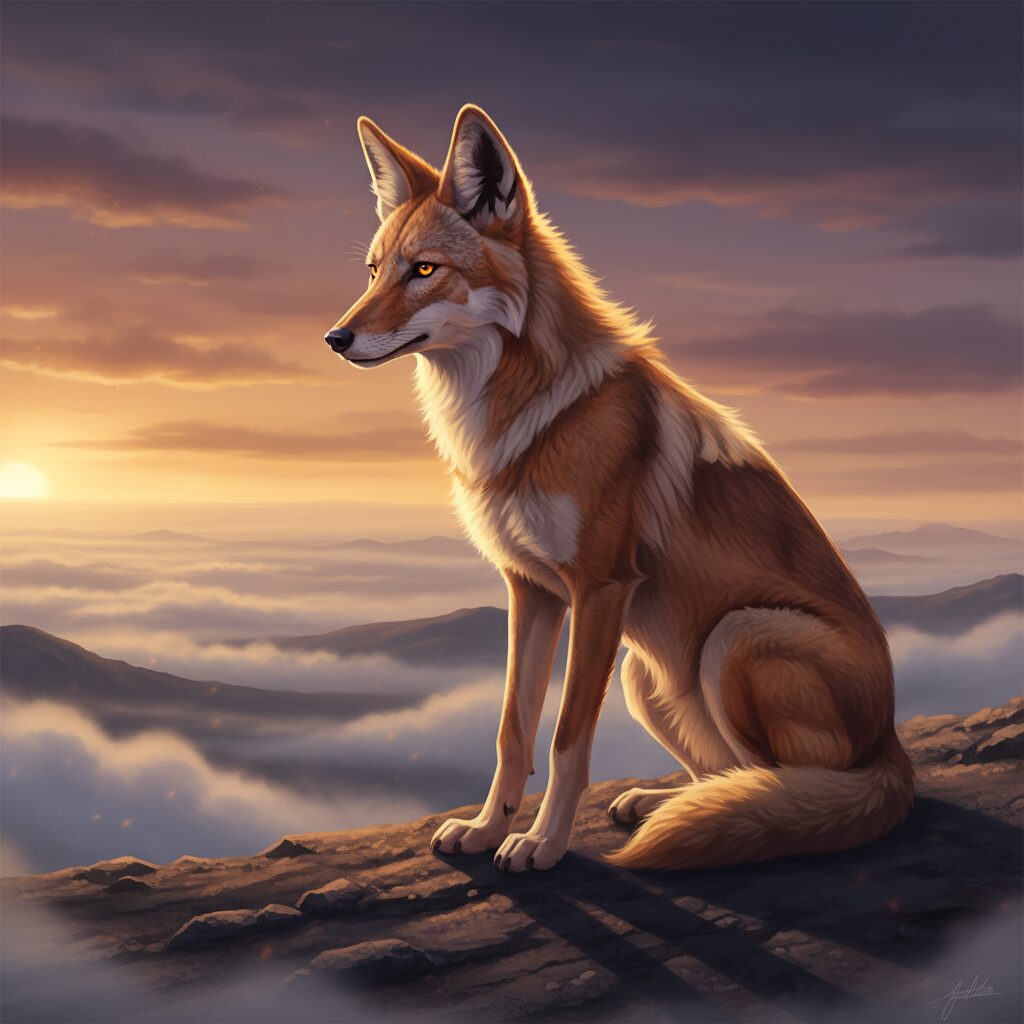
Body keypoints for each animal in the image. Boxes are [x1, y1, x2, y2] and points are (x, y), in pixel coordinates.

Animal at [325, 105, 914, 873]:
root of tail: (896, 752)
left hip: (734, 634)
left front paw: (542, 843)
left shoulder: (599, 589)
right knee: (732, 773)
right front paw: (486, 828)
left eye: (424, 270)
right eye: (372, 272)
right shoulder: (531, 590)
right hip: (650, 673)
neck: (527, 415)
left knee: (788, 784)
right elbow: (512, 731)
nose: (335, 338)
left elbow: (565, 739)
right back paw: (663, 803)